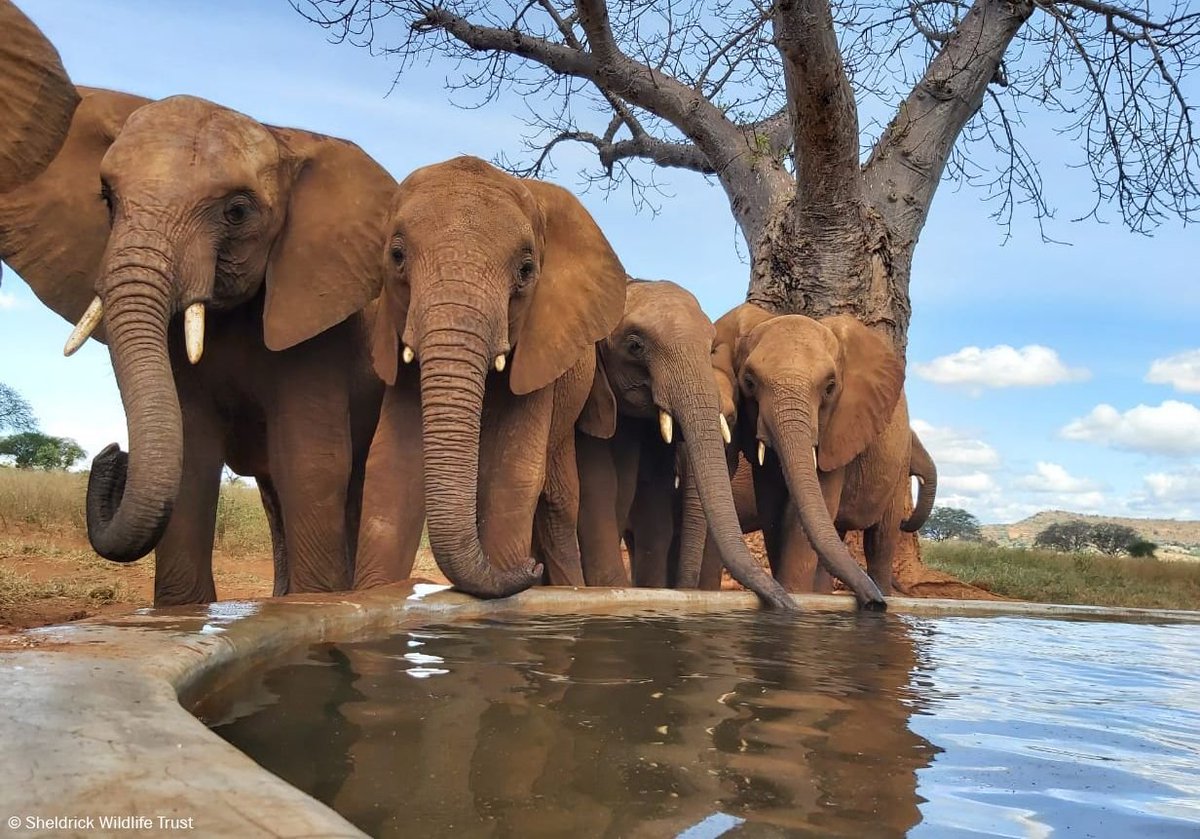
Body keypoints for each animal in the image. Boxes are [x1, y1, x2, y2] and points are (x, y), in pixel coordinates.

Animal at [0, 88, 394, 605]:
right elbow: (192, 457)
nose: (113, 454)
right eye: (106, 198)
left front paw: (317, 602)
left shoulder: (320, 324)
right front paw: (182, 612)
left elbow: (309, 463)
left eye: (237, 212)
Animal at [353, 155, 628, 599]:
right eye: (396, 256)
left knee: (558, 503)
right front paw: (373, 595)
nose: (529, 569)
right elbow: (392, 463)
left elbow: (512, 470)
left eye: (527, 270)